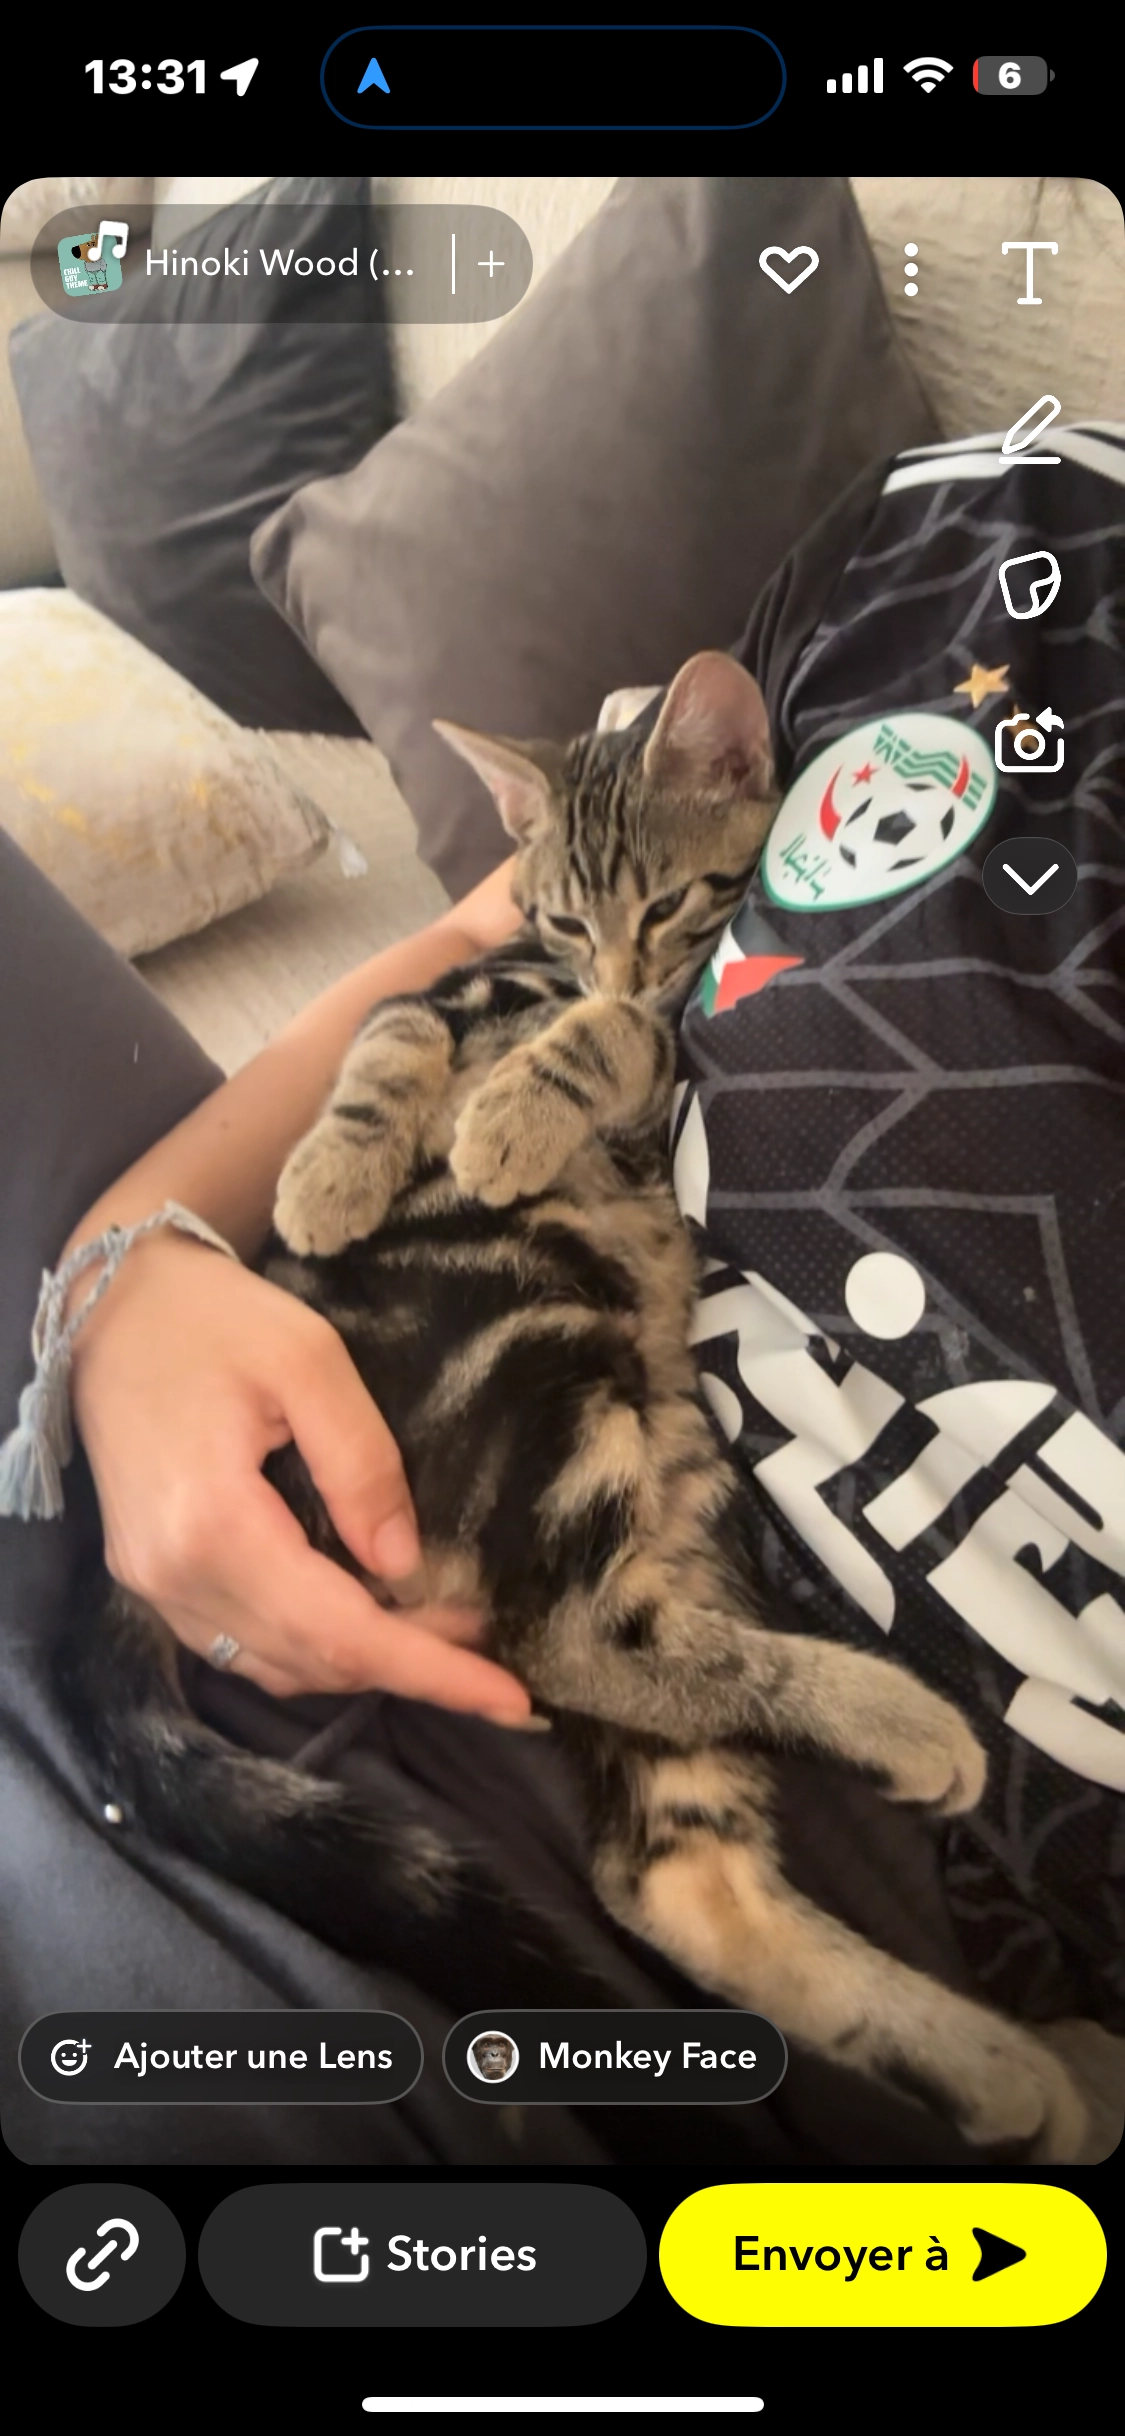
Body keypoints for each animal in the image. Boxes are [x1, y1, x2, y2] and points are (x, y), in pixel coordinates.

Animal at [60, 651, 1091, 2160]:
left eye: (666, 907)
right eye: (557, 910)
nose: (597, 962)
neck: (543, 973)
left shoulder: (649, 1036)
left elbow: (613, 1035)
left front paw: (508, 1106)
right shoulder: (445, 985)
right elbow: (387, 1045)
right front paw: (337, 1177)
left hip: (630, 1428)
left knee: (631, 1782)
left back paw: (987, 2036)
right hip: (549, 1360)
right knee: (579, 1672)